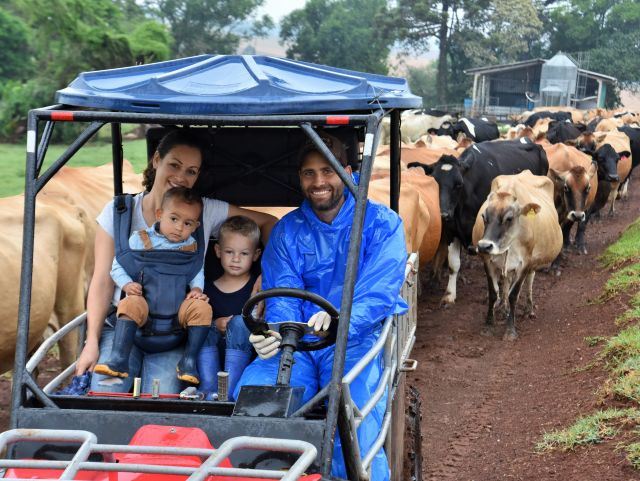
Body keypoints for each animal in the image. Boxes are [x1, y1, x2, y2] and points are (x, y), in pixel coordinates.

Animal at [408, 137, 548, 306]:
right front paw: (449, 295)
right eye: (434, 183)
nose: (443, 214)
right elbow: (453, 265)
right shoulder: (451, 231)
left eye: (458, 184)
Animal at [470, 171, 560, 340]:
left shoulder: (525, 264)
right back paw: (503, 309)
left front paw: (510, 330)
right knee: (506, 281)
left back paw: (528, 310)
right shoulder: (488, 261)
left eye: (509, 218)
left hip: (533, 262)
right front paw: (488, 325)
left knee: (530, 280)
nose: (484, 246)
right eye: (484, 217)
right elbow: (493, 293)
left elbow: (514, 295)